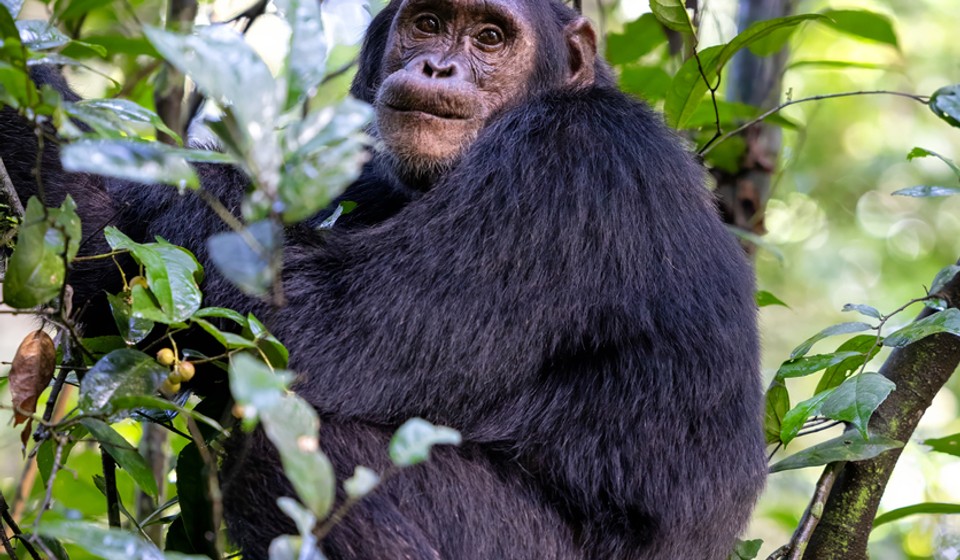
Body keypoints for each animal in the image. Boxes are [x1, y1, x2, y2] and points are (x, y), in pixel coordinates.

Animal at [0, 0, 764, 556]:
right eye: (427, 22)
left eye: (491, 36)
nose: (439, 65)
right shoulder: (372, 181)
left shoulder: (569, 167)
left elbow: (320, 323)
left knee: (310, 435)